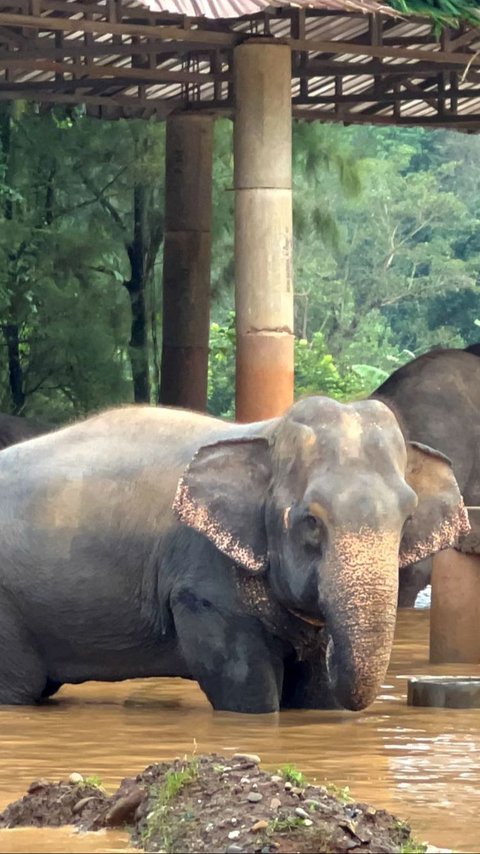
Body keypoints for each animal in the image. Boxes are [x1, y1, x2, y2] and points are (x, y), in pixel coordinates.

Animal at [0, 400, 466, 716]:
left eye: (408, 517)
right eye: (311, 521)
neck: (267, 432)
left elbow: (314, 694)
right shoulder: (202, 579)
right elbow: (246, 686)